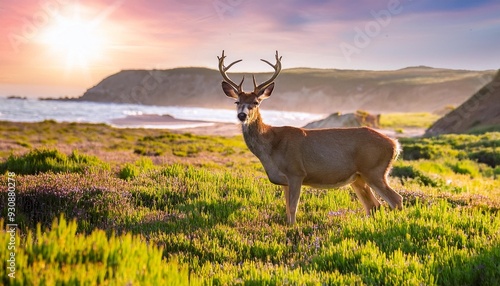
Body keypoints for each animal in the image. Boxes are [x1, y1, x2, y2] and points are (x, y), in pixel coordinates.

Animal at [218, 50, 402, 225]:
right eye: (237, 102)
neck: (272, 146)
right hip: (359, 177)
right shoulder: (284, 181)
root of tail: (394, 144)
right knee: (373, 205)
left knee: (396, 200)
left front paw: (293, 228)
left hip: (374, 170)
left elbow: (293, 207)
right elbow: (286, 208)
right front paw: (288, 226)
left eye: (256, 102)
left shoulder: (296, 172)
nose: (242, 115)